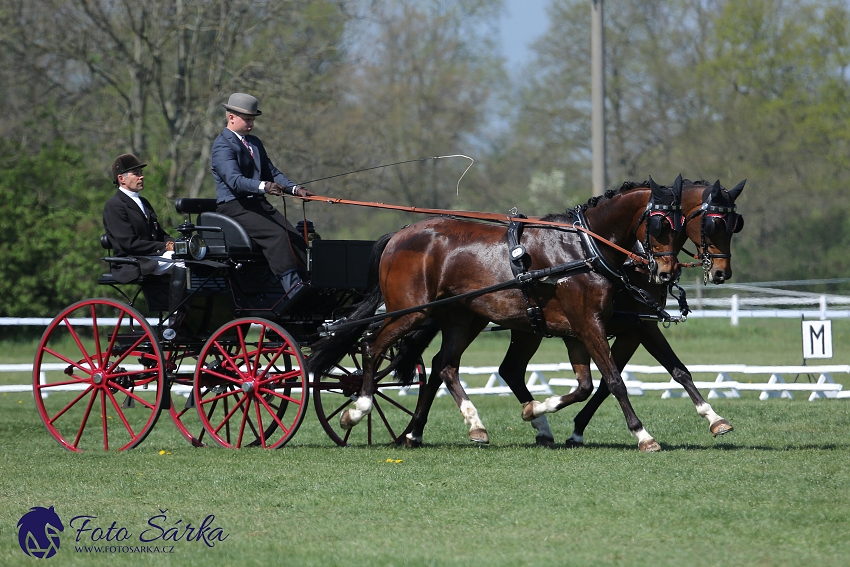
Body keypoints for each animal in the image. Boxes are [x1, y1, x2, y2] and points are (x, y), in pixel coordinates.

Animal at [308, 178, 684, 452]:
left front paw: (534, 411)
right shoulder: (587, 323)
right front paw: (643, 435)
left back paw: (472, 425)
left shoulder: (578, 328)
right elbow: (614, 381)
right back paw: (358, 409)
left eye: (681, 225)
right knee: (372, 346)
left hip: (462, 318)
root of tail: (398, 235)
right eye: (658, 224)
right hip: (409, 312)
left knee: (445, 365)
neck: (582, 249)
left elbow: (586, 385)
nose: (666, 273)